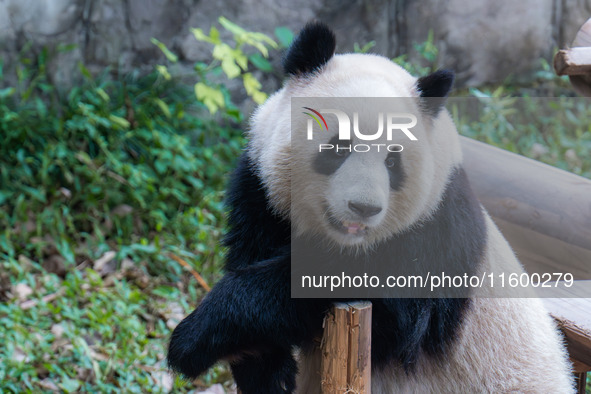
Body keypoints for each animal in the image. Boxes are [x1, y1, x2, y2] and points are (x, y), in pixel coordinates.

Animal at [166, 22, 572, 394]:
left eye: (393, 162)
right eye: (339, 146)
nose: (363, 207)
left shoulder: (433, 231)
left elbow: (386, 307)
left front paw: (196, 337)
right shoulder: (263, 195)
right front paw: (265, 370)